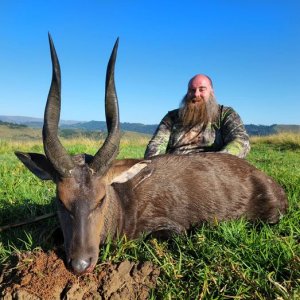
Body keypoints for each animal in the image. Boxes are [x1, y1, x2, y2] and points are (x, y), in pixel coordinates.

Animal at [15, 34, 288, 274]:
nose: (81, 264)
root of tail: (272, 183)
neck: (124, 203)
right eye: (60, 200)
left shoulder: (169, 228)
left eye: (101, 199)